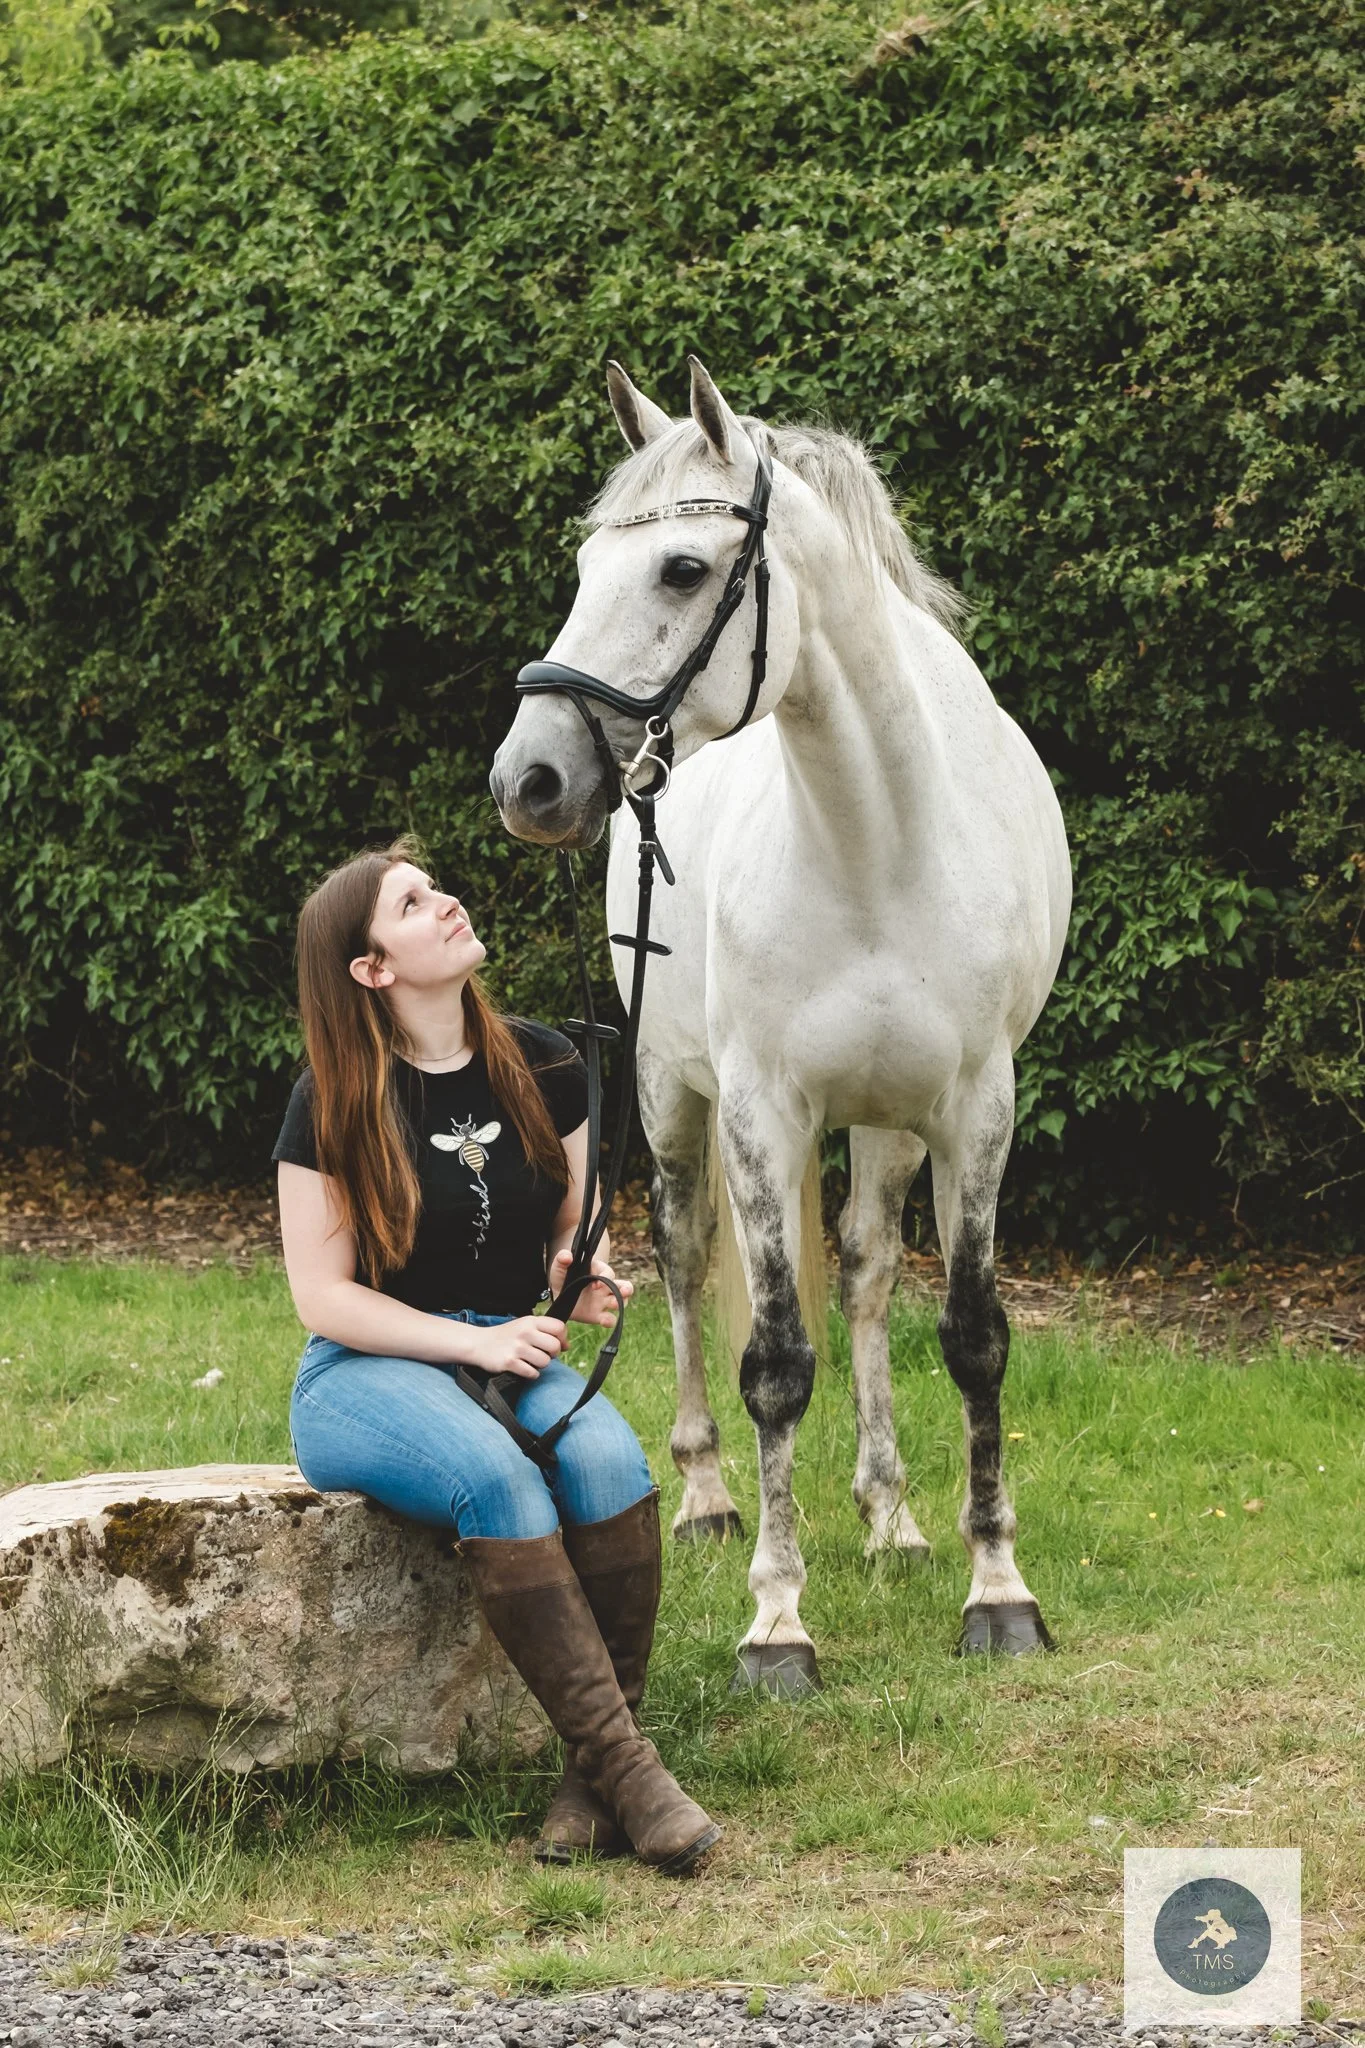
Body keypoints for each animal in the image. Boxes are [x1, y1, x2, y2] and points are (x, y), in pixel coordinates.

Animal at [490, 357, 1071, 1695]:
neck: (881, 836)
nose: (527, 778)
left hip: (890, 1123)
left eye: (681, 570)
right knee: (684, 1259)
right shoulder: (762, 1110)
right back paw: (710, 1496)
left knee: (863, 1273)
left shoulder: (975, 1106)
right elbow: (774, 1361)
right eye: (585, 566)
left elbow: (969, 1336)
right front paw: (777, 1617)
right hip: (670, 1094)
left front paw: (996, 1588)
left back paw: (891, 1512)